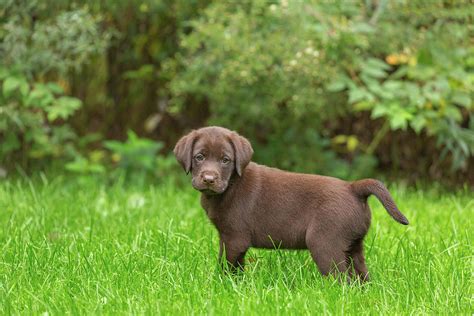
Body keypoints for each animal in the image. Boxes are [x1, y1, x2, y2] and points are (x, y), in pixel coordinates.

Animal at [174, 126, 408, 282]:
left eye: (225, 160)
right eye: (199, 157)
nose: (209, 179)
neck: (231, 184)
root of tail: (353, 187)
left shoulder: (235, 238)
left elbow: (227, 265)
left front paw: (223, 285)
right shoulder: (227, 237)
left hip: (325, 242)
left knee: (342, 280)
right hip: (353, 245)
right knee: (361, 276)